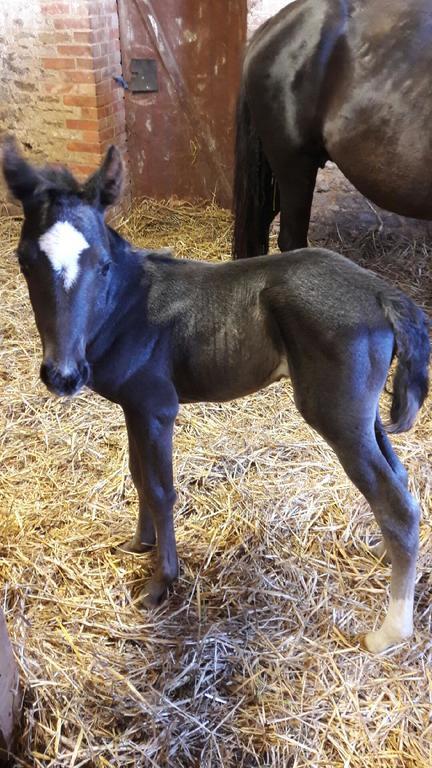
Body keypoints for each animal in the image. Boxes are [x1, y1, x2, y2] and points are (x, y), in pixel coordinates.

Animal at [2, 140, 428, 656]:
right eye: (24, 260)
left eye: (101, 264)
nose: (63, 375)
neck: (128, 306)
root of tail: (383, 292)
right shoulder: (134, 406)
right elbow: (138, 474)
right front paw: (138, 544)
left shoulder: (156, 407)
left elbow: (161, 488)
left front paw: (160, 583)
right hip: (363, 417)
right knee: (399, 482)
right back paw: (382, 554)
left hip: (337, 416)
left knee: (398, 507)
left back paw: (388, 632)